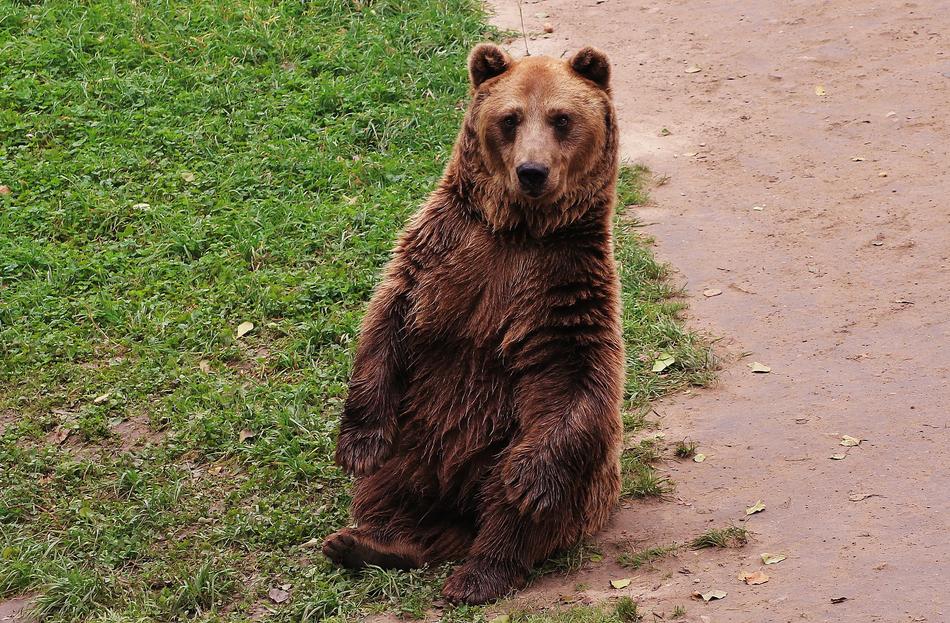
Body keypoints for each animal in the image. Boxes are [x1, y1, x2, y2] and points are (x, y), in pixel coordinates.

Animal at [322, 43, 625, 605]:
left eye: (562, 118)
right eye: (510, 118)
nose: (532, 171)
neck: (518, 230)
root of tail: (457, 512)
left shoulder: (566, 289)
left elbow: (581, 378)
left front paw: (530, 481)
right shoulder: (441, 254)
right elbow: (387, 321)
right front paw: (356, 445)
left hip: (510, 446)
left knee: (512, 507)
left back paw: (479, 574)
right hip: (416, 431)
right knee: (389, 485)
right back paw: (369, 542)